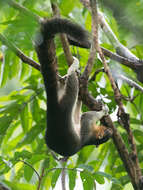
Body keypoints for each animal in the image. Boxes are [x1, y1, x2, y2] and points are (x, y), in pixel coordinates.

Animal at [35, 18, 111, 157]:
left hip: (65, 104)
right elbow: (83, 115)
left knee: (71, 87)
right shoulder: (87, 130)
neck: (90, 140)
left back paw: (69, 72)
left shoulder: (85, 129)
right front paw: (101, 110)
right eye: (106, 131)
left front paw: (102, 110)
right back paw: (70, 72)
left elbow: (82, 116)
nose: (109, 129)